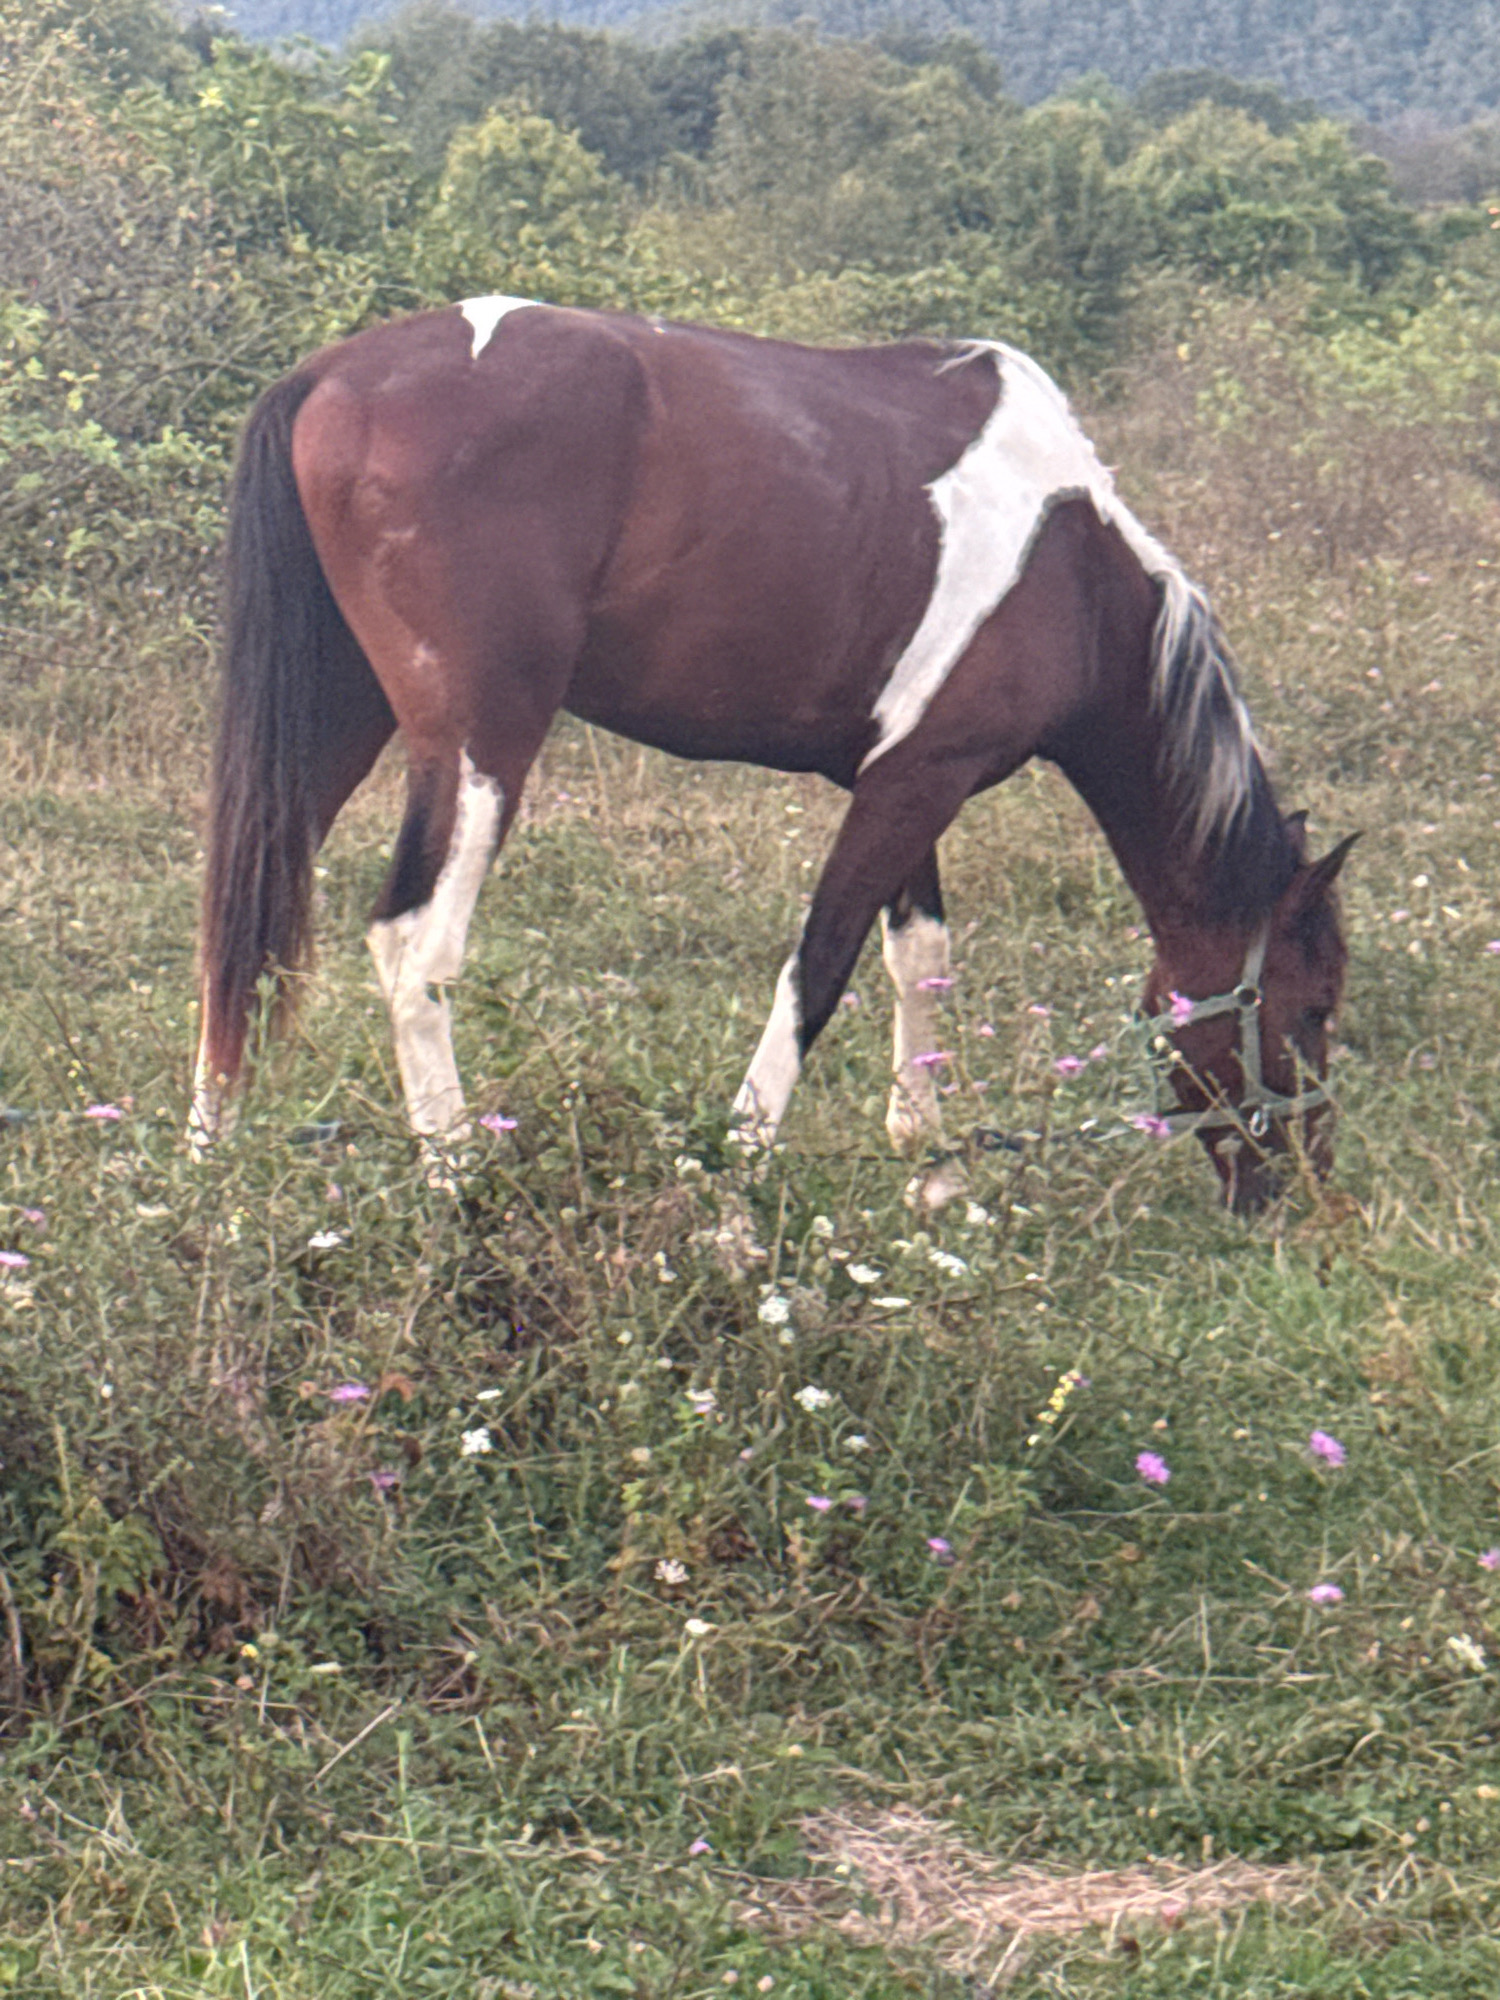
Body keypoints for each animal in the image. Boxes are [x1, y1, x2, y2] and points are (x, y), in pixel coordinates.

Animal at [190, 297, 1355, 1214]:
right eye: (1314, 1007)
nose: (1299, 1184)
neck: (1070, 563)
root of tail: (328, 376)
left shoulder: (908, 778)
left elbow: (919, 959)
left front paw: (932, 1167)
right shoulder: (919, 780)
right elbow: (820, 968)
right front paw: (740, 1176)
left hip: (341, 723)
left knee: (240, 922)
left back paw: (207, 1169)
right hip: (481, 745)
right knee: (415, 946)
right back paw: (456, 1177)